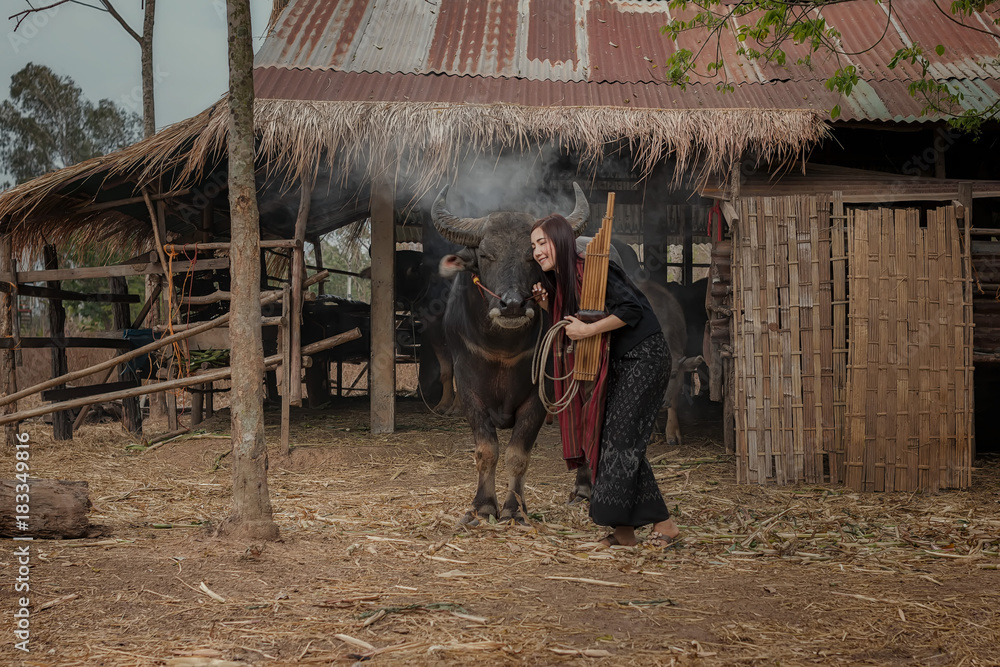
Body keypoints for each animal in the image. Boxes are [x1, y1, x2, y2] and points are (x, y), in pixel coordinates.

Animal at [436, 184, 588, 528]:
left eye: (532, 255)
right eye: (485, 255)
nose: (513, 305)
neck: (502, 348)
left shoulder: (539, 395)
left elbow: (517, 454)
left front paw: (515, 509)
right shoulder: (469, 391)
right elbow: (486, 450)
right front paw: (482, 507)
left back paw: (584, 489)